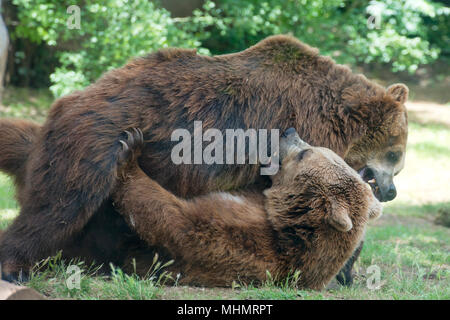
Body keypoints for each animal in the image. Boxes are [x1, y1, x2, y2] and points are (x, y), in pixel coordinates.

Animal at [110, 128, 382, 290]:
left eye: (305, 153)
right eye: (311, 147)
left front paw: (130, 150)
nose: (289, 131)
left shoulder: (236, 239)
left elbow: (168, 217)